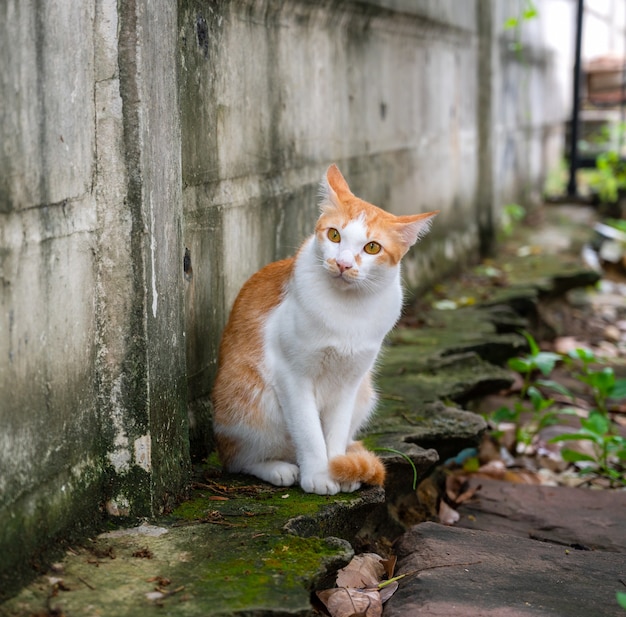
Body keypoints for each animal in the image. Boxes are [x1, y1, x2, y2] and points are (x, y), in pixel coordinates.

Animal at [212, 164, 436, 496]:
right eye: (334, 234)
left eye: (372, 247)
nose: (343, 264)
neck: (347, 310)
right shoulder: (292, 375)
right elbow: (309, 432)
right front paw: (319, 474)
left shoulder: (350, 381)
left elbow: (335, 431)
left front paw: (338, 467)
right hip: (250, 400)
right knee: (239, 459)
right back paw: (278, 468)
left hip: (365, 394)